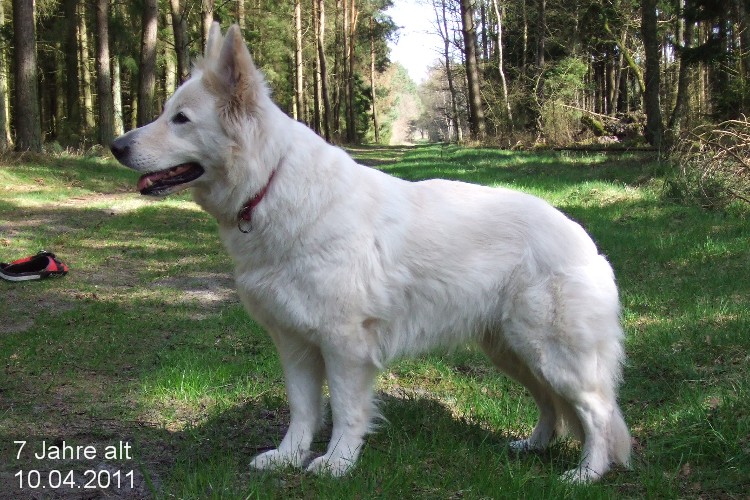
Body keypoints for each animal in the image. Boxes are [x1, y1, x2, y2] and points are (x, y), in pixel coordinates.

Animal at [111, 23, 631, 483]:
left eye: (180, 119)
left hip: (553, 354)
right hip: (513, 352)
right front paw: (288, 457)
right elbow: (302, 410)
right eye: (166, 113)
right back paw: (533, 446)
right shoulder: (293, 342)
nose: (115, 145)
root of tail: (583, 240)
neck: (270, 183)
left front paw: (338, 464)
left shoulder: (345, 345)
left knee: (598, 413)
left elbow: (344, 410)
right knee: (552, 405)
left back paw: (585, 474)